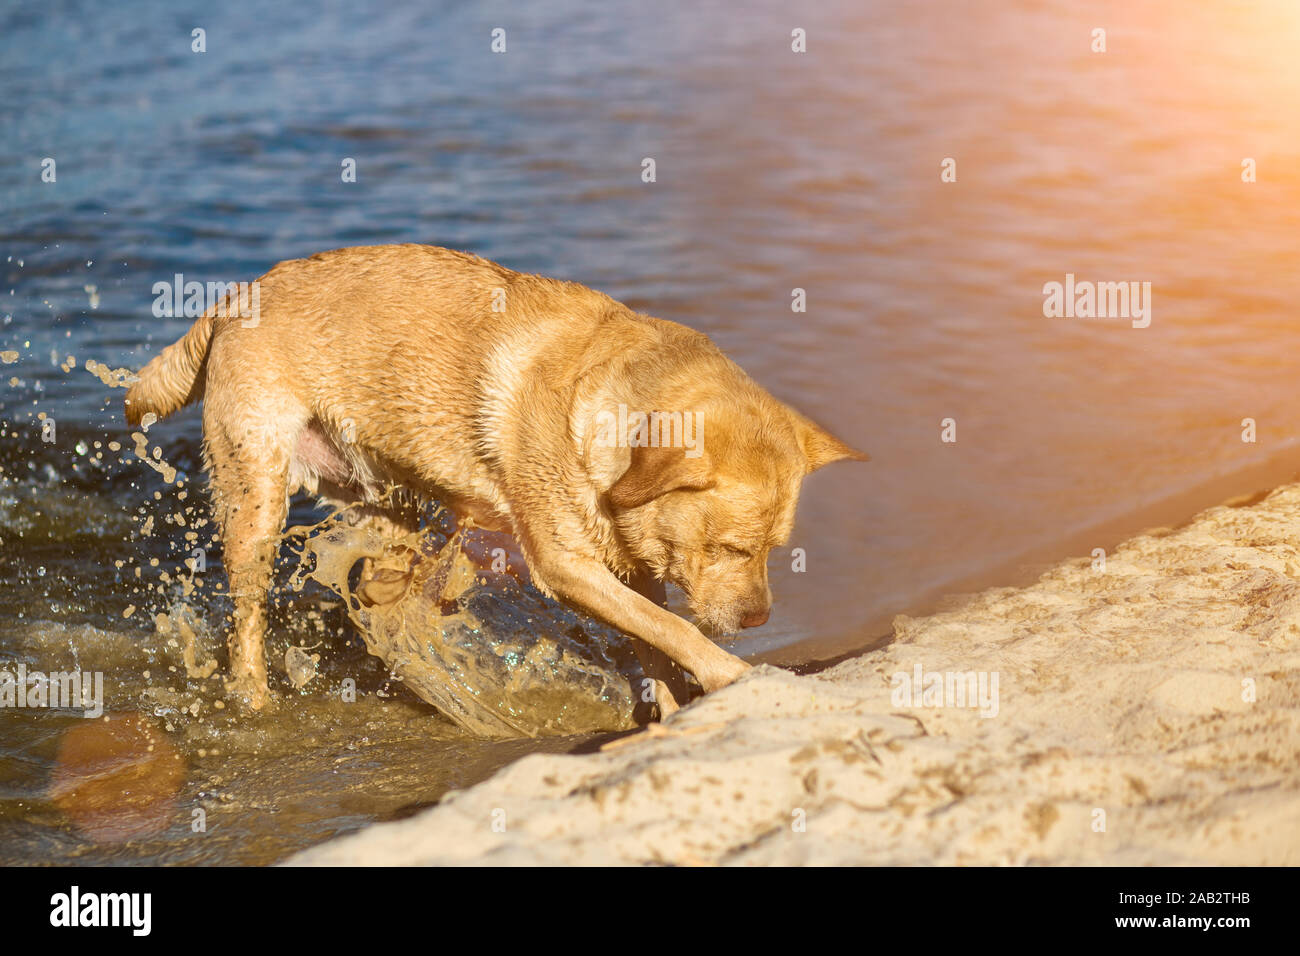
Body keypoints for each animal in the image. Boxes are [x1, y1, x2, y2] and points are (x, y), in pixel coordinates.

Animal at [126, 243, 868, 712]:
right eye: (732, 548)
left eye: (774, 551)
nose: (760, 617)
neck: (604, 405)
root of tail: (234, 297)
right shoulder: (565, 565)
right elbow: (675, 629)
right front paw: (733, 673)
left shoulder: (632, 563)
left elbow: (654, 634)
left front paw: (669, 704)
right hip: (256, 504)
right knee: (245, 621)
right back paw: (254, 696)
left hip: (381, 488)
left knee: (379, 568)